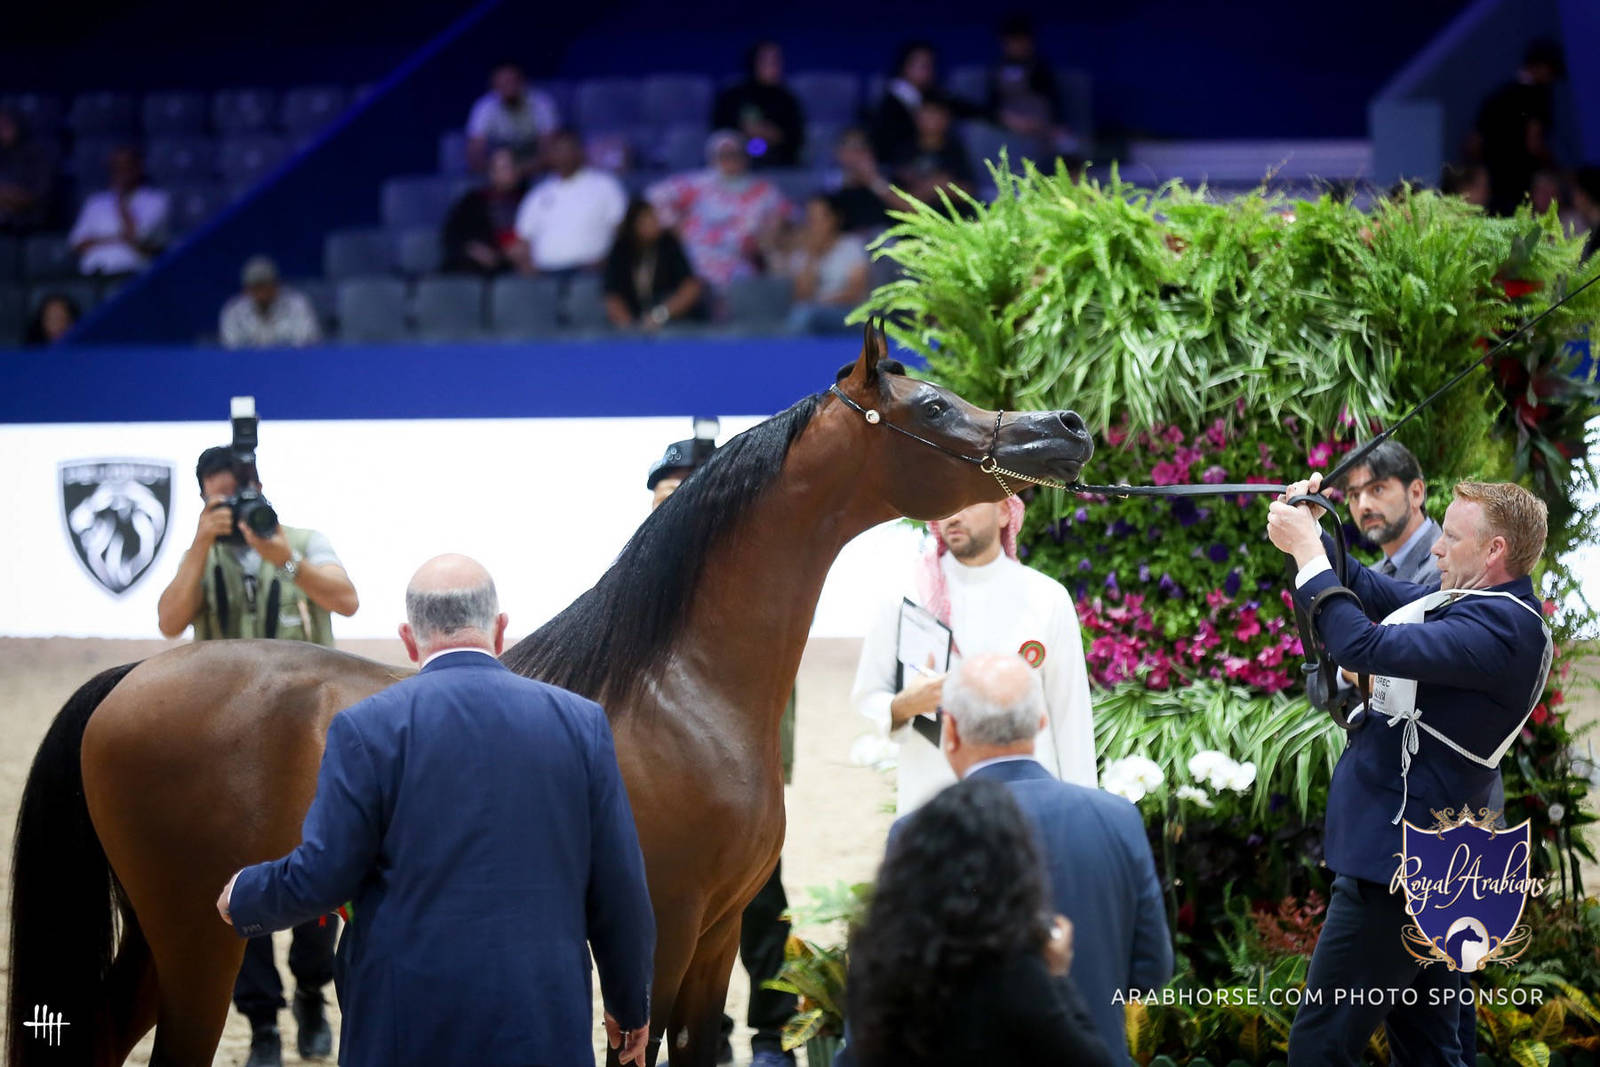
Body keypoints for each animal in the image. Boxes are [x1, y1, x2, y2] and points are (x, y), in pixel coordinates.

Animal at [8, 322, 1093, 1067]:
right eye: (934, 408)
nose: (1070, 428)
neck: (677, 690)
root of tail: (129, 678)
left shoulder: (712, 939)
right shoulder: (656, 928)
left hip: (159, 938)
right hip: (197, 937)